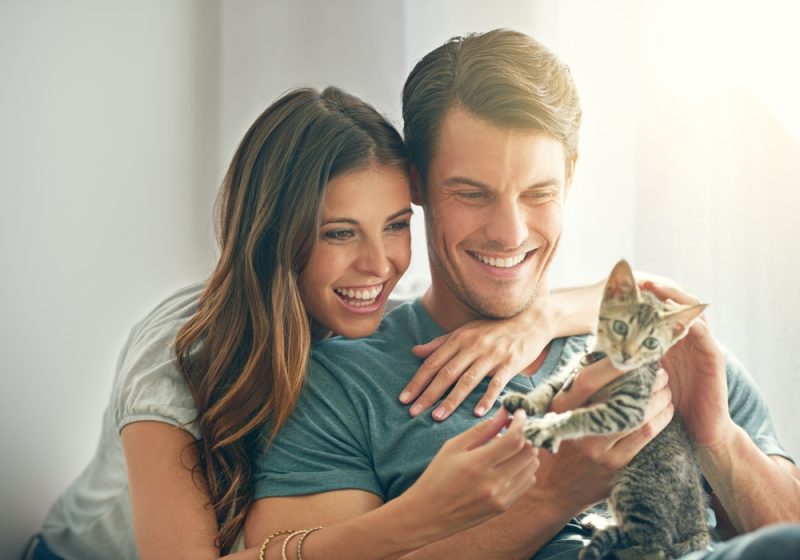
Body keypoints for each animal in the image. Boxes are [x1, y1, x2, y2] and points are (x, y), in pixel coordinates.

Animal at [504, 262, 708, 560]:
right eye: (620, 327)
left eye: (651, 343)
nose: (626, 355)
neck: (600, 361)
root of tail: (699, 527)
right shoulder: (572, 373)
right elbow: (549, 388)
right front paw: (525, 401)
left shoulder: (629, 408)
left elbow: (583, 415)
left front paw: (548, 427)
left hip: (634, 485)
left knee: (657, 548)